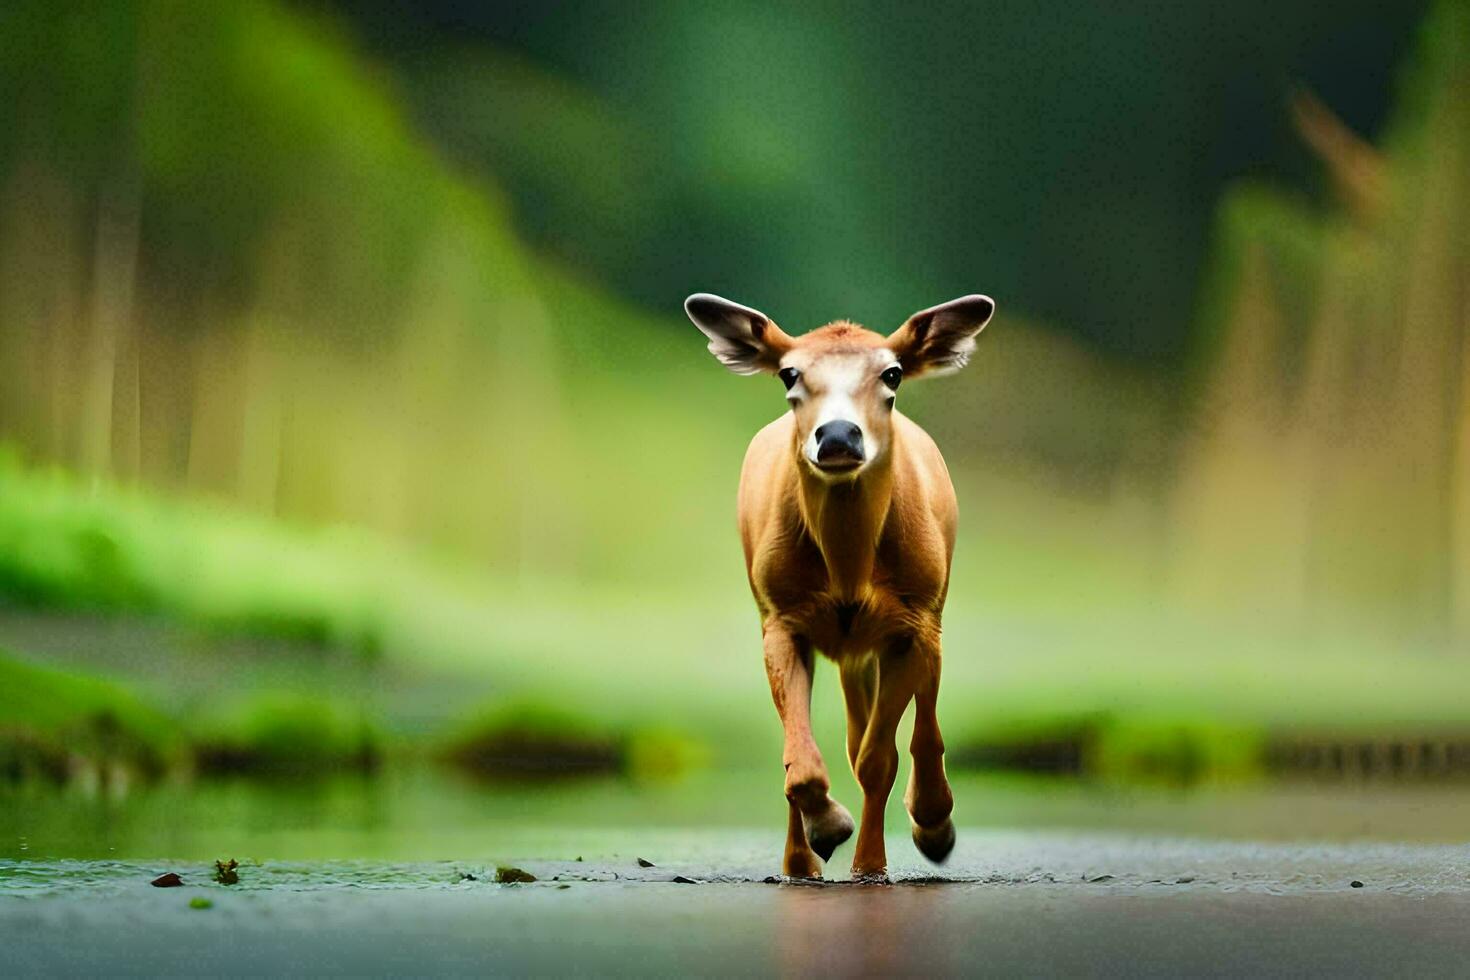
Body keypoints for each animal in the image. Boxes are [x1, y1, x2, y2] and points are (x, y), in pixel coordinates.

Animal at [682, 290, 993, 881]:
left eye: (892, 373)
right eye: (789, 374)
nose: (839, 436)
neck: (849, 571)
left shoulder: (911, 622)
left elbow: (878, 759)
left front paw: (871, 864)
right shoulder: (781, 617)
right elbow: (801, 761)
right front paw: (825, 832)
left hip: (930, 614)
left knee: (920, 722)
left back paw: (933, 822)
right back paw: (801, 860)